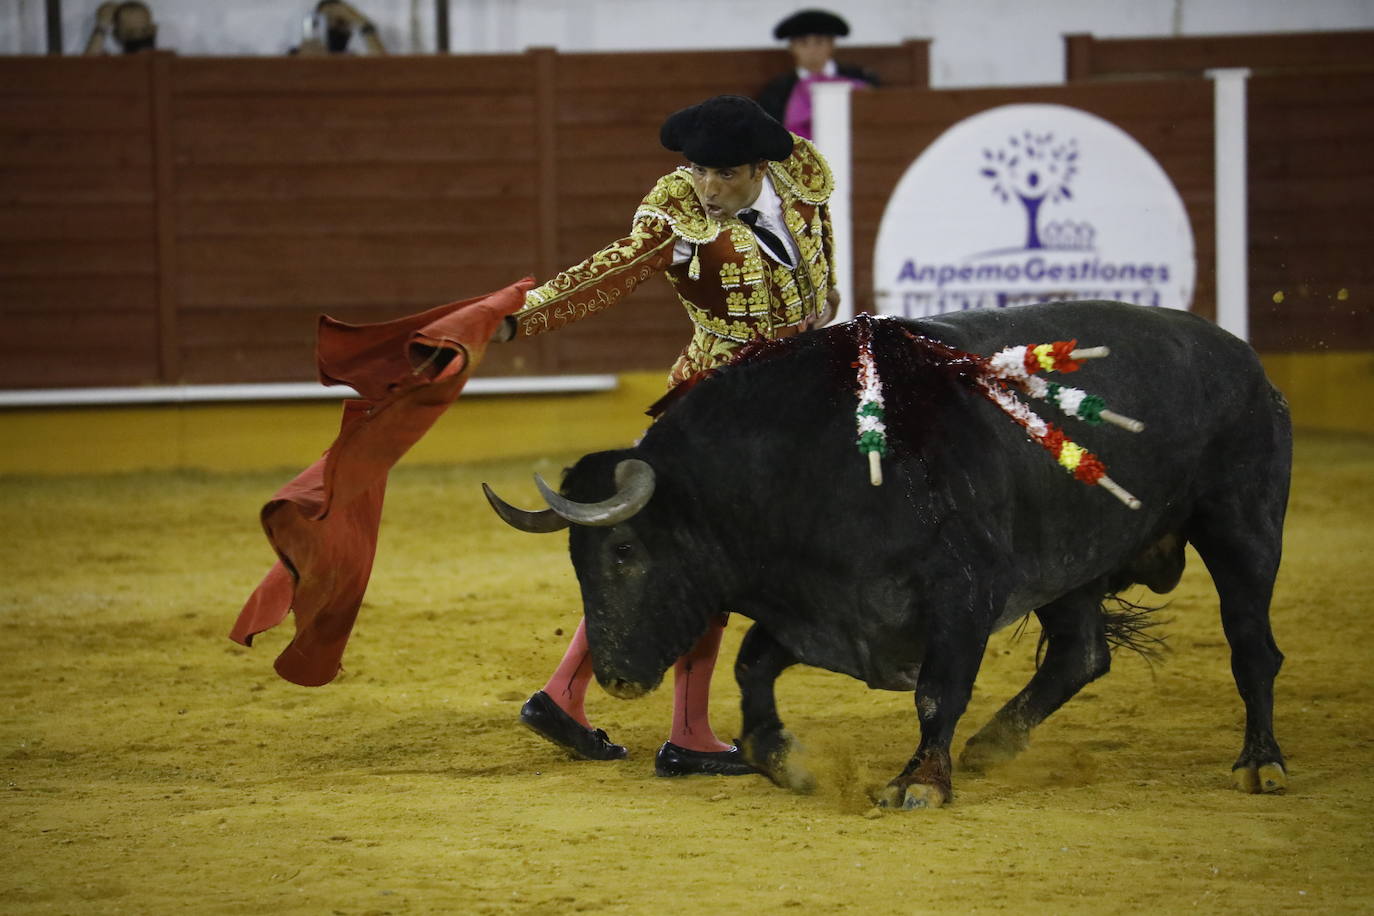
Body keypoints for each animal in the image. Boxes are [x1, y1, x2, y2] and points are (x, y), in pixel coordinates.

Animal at [489, 300, 1291, 807]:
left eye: (624, 550)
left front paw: (920, 783)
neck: (805, 458)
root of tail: (1246, 360)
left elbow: (938, 690)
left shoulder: (964, 594)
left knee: (1252, 644)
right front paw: (783, 761)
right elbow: (752, 663)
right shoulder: (823, 608)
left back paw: (1261, 764)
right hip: (1075, 565)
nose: (617, 678)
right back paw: (994, 744)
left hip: (1241, 526)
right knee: (1082, 651)